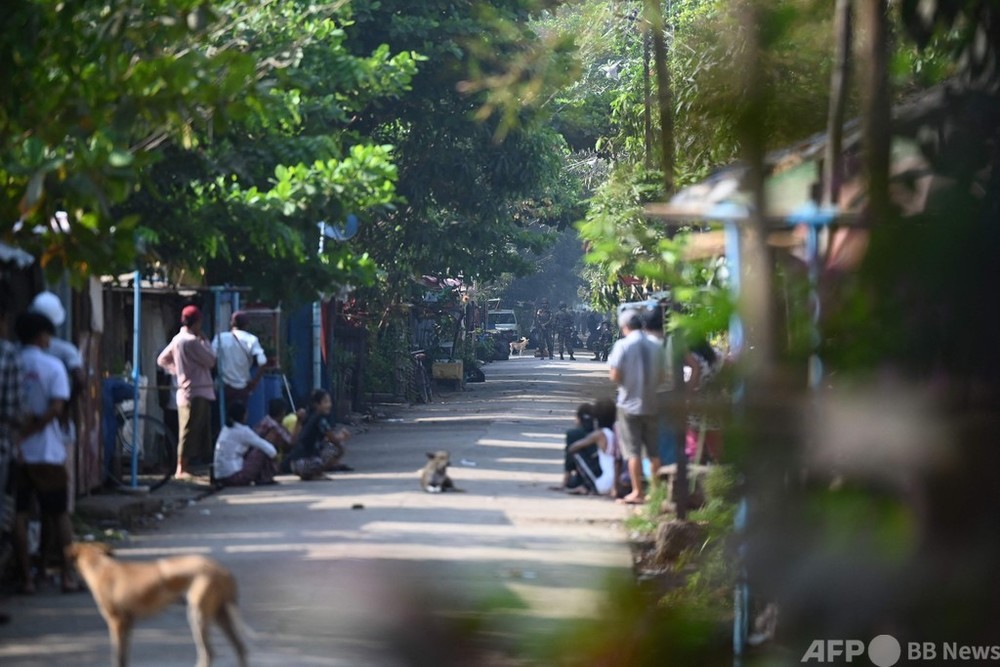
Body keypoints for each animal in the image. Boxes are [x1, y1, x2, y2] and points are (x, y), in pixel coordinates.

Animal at [66, 544, 248, 667]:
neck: (99, 565)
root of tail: (221, 569)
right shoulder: (128, 624)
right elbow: (124, 656)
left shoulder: (116, 623)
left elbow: (117, 656)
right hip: (220, 615)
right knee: (240, 647)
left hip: (197, 617)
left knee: (209, 653)